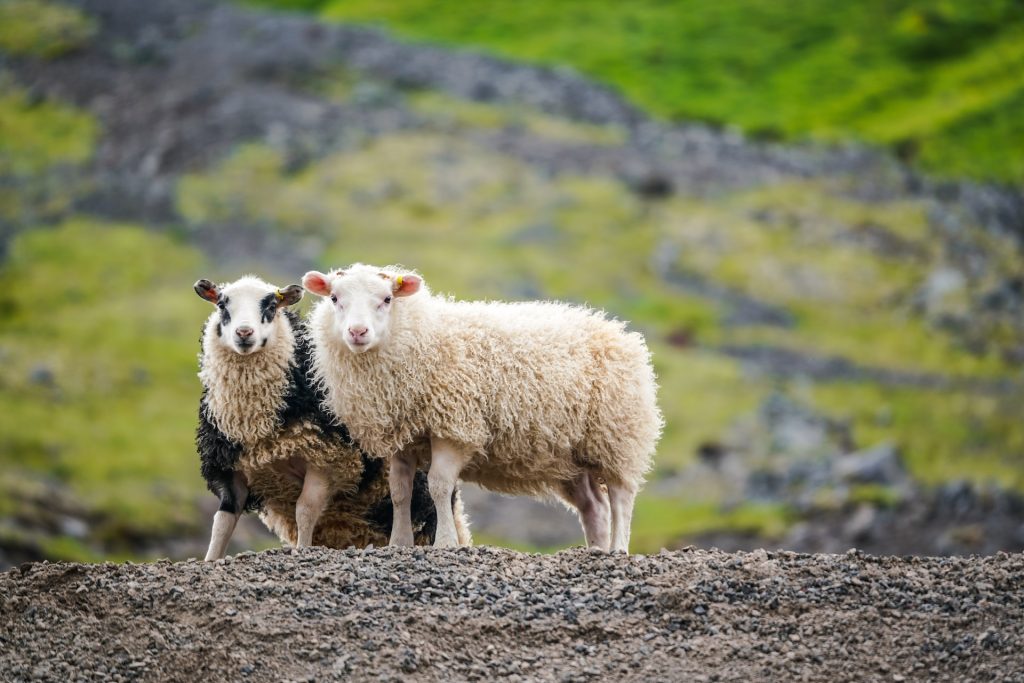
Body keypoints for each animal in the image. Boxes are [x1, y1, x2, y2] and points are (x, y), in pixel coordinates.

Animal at [193, 275, 471, 560]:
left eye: (271, 306)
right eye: (222, 305)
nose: (244, 333)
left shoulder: (328, 459)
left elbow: (305, 510)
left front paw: (302, 550)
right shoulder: (229, 465)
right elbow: (223, 521)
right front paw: (211, 559)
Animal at [303, 264, 662, 553]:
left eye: (387, 299)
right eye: (334, 298)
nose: (357, 332)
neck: (420, 338)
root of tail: (619, 332)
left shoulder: (454, 426)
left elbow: (439, 485)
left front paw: (446, 543)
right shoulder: (403, 436)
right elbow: (400, 492)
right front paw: (399, 543)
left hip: (617, 436)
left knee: (621, 497)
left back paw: (618, 549)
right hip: (572, 457)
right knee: (594, 507)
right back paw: (596, 550)